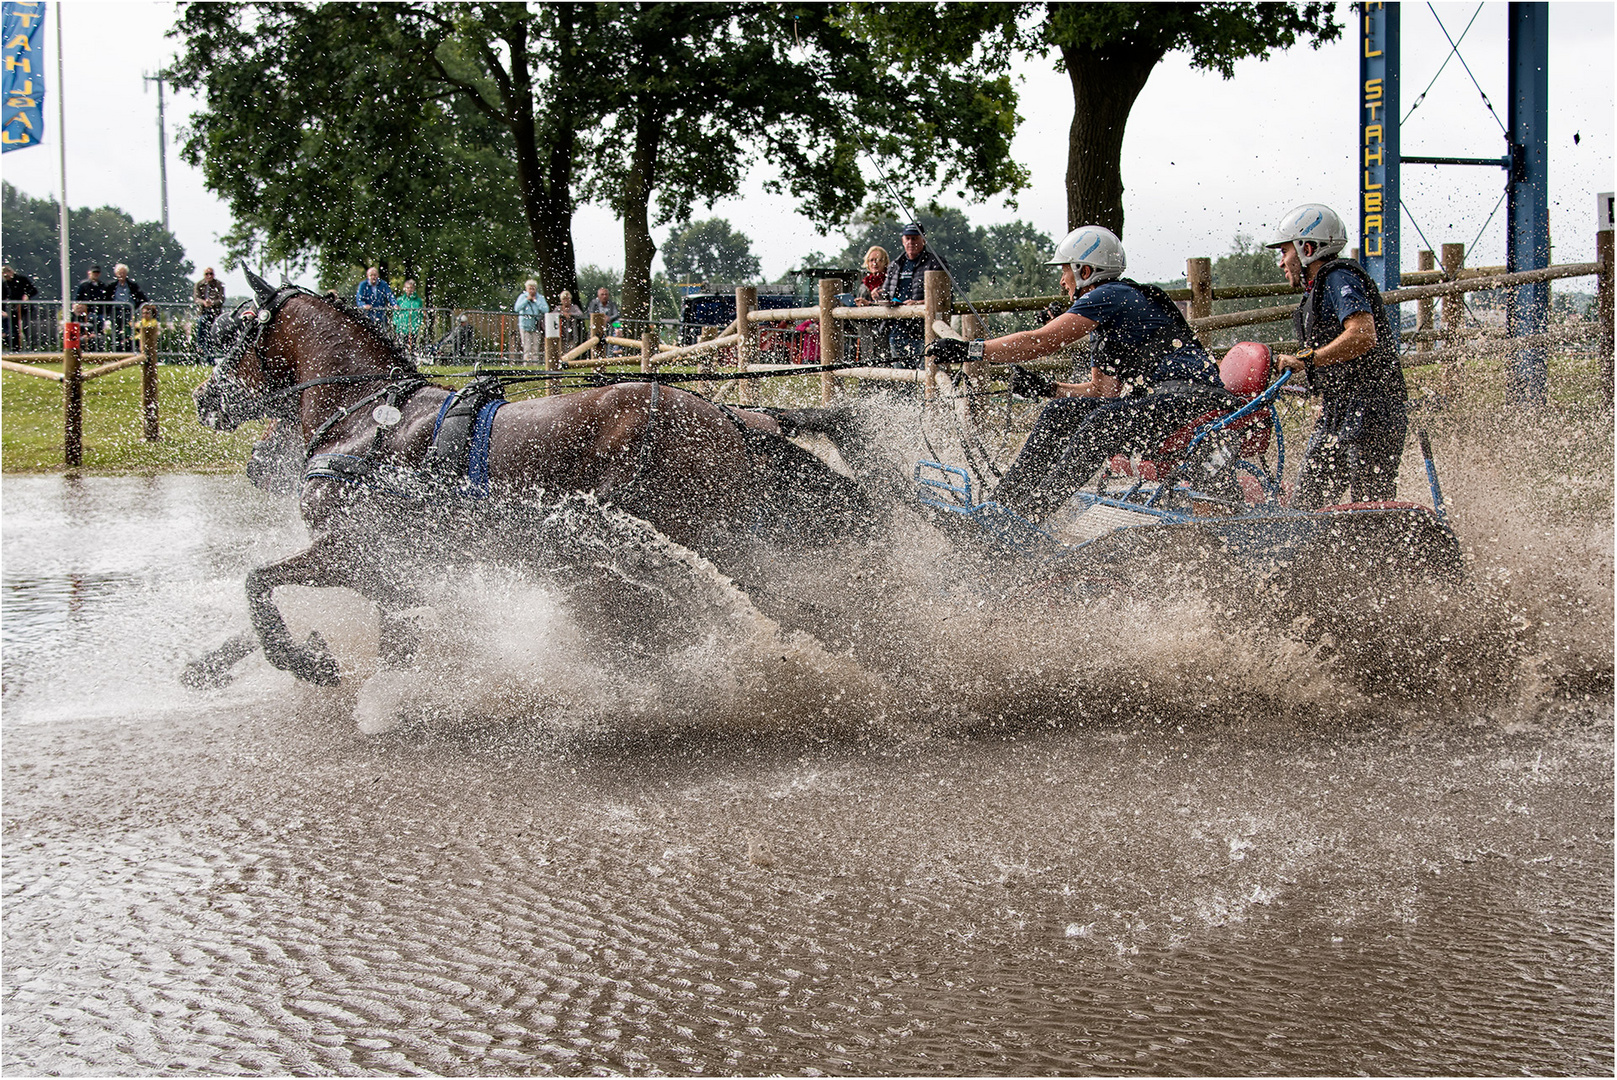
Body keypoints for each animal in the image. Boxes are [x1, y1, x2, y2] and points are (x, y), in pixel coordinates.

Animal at [187, 274, 886, 688]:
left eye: (236, 329)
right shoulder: (399, 573)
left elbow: (258, 585)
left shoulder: (360, 551)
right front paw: (210, 661)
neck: (365, 419)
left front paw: (305, 659)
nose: (203, 397)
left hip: (715, 532)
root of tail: (729, 415)